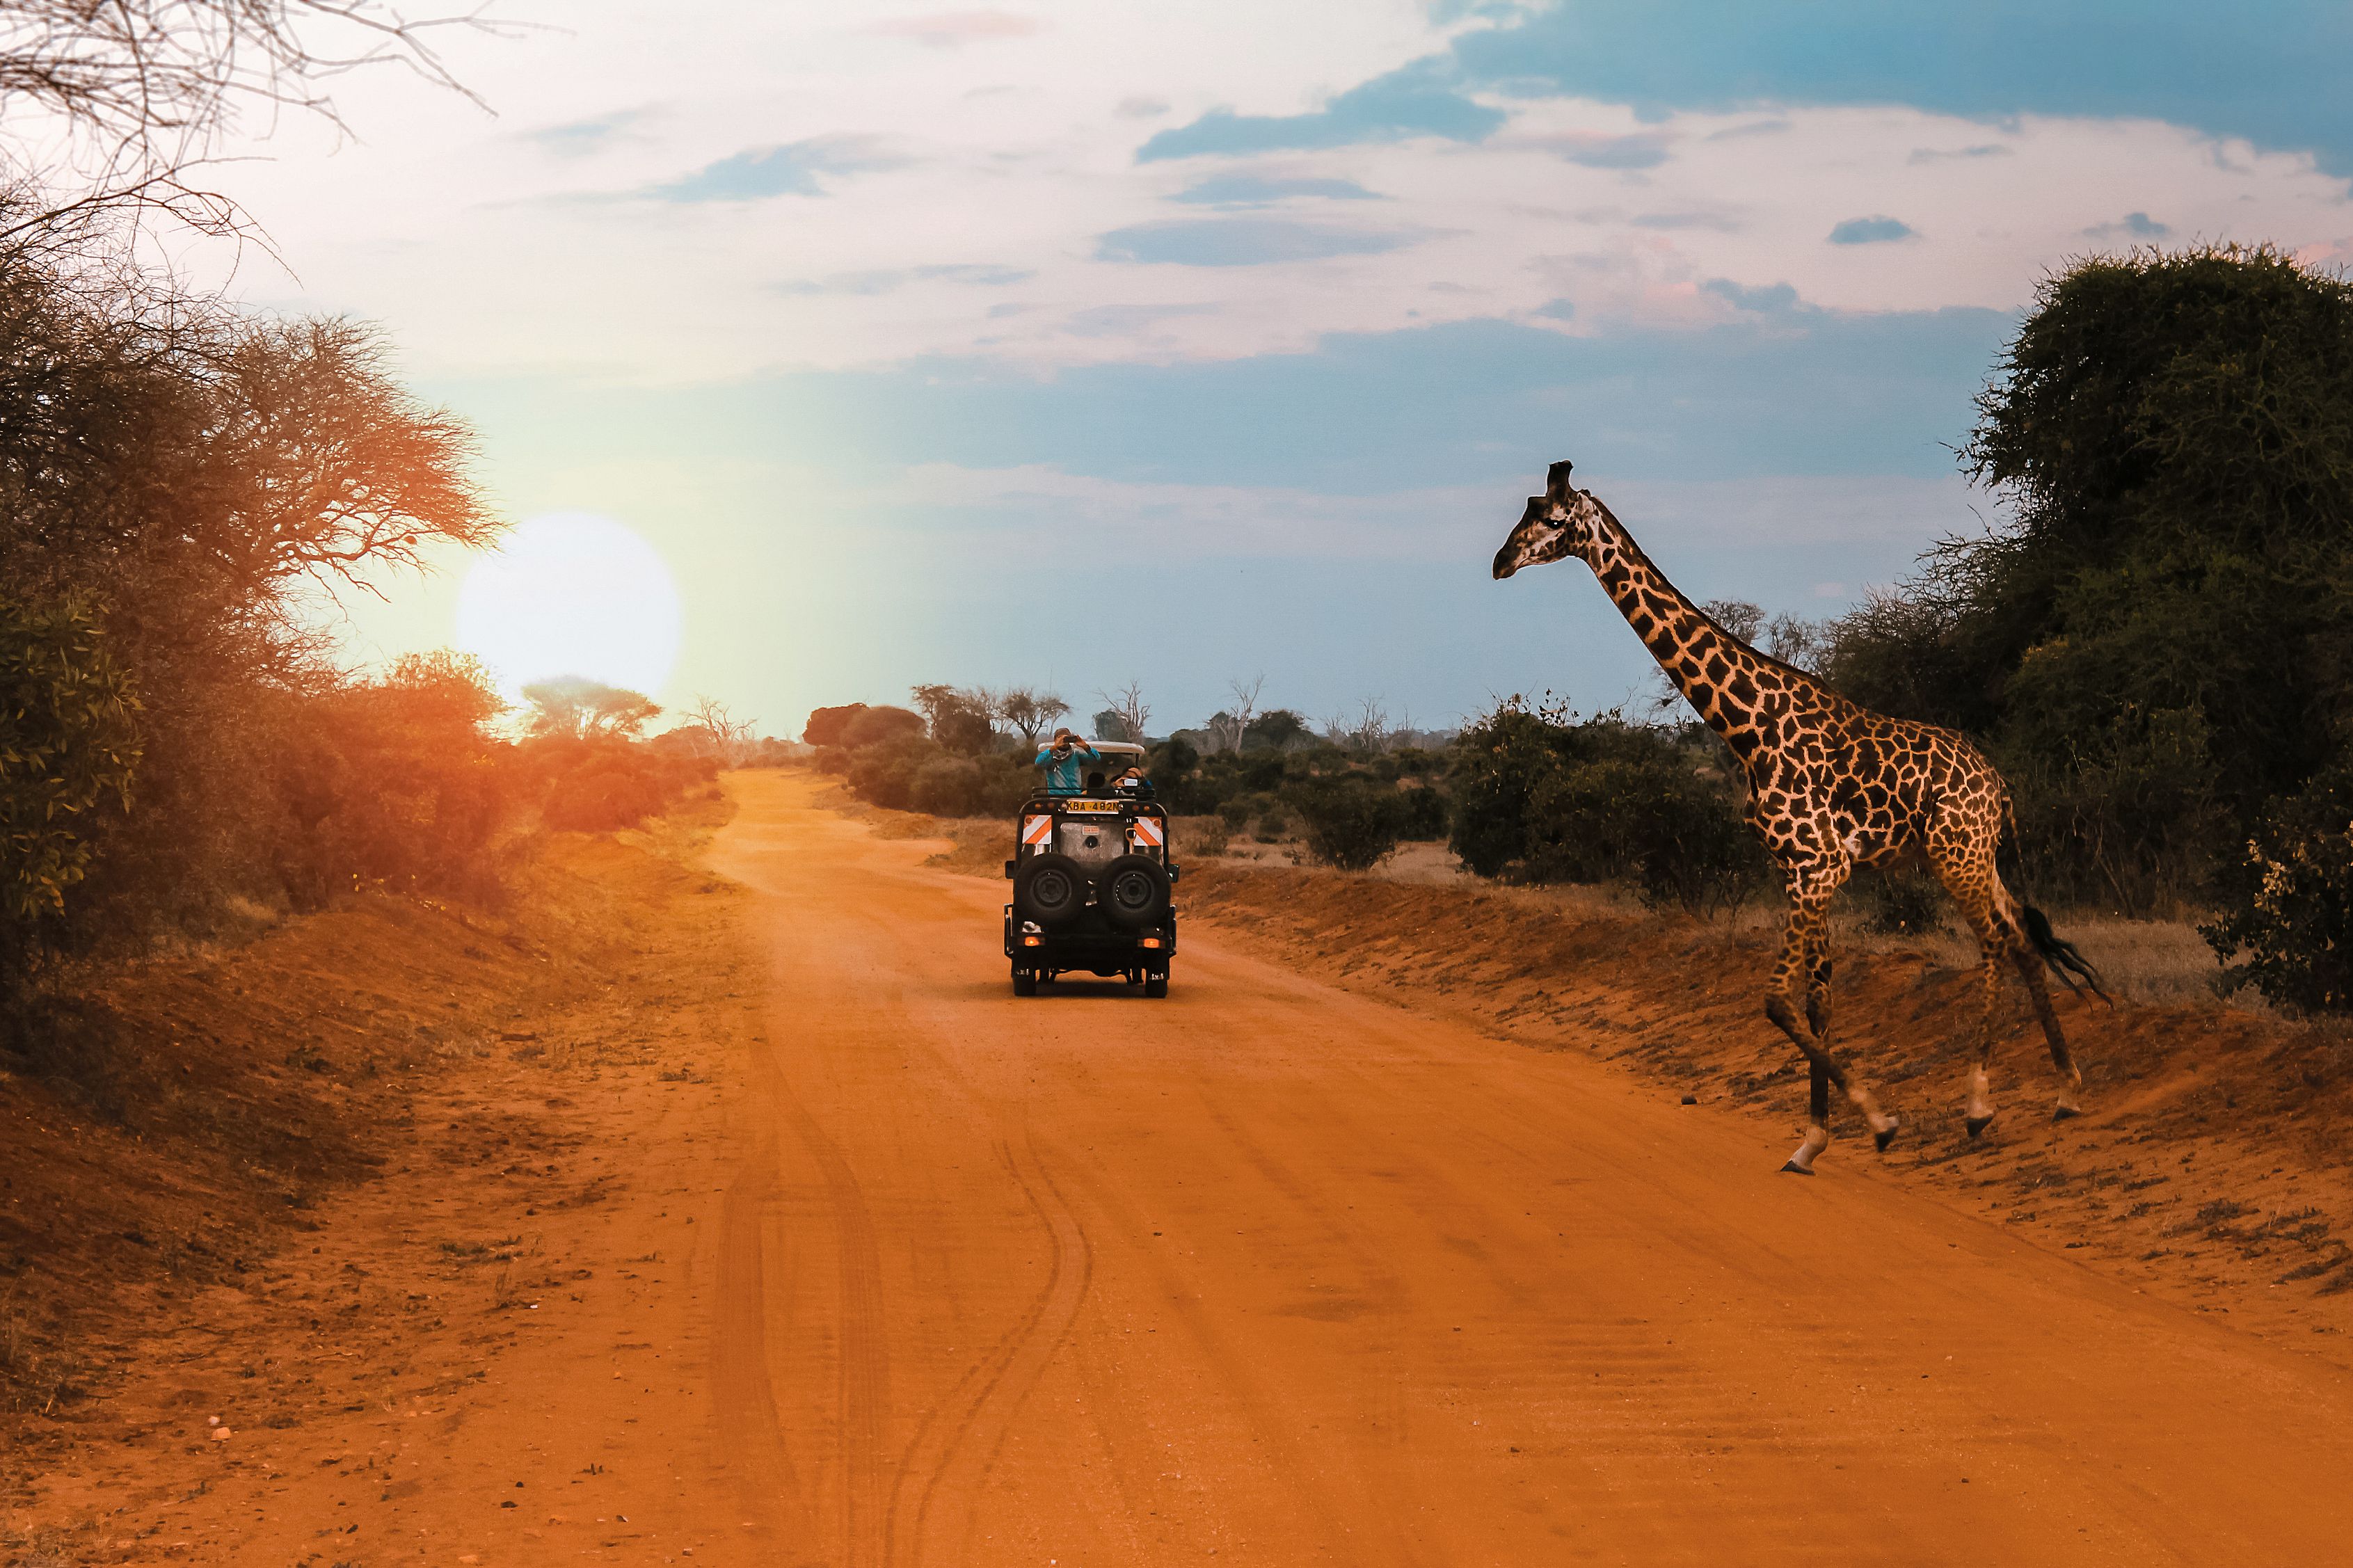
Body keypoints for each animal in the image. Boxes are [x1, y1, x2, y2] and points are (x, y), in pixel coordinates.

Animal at [1492, 460, 2105, 1173]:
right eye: (1525, 507)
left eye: (1551, 516)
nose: (1501, 561)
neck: (1747, 728)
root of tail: (1999, 785)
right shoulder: (1797, 870)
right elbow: (1817, 1002)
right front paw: (1813, 1140)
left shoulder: (1821, 866)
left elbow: (1778, 1001)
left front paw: (1879, 1123)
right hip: (1971, 855)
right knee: (2024, 937)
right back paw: (2066, 1092)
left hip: (1957, 855)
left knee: (1997, 943)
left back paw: (1980, 1106)